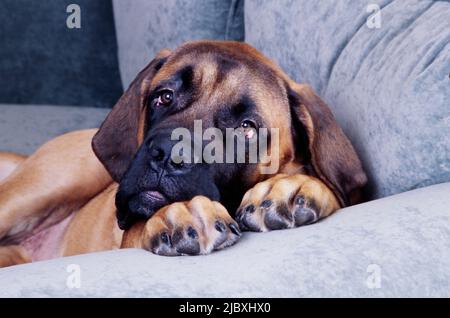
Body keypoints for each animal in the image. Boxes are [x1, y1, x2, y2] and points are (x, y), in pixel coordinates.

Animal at [0, 41, 368, 268]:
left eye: (246, 127)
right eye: (164, 96)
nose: (167, 155)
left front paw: (292, 187)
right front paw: (180, 214)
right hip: (56, 180)